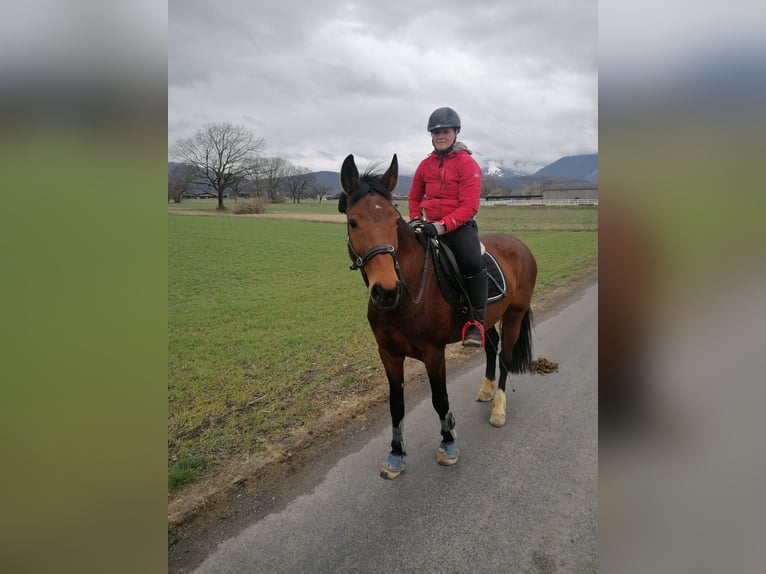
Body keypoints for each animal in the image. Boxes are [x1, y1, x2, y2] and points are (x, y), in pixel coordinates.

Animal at [340, 154, 536, 482]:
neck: (407, 294)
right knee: (489, 347)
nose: (386, 291)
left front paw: (448, 443)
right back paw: (485, 390)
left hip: (514, 316)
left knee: (506, 356)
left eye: (394, 221)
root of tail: (520, 244)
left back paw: (498, 407)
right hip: (487, 319)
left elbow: (440, 399)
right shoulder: (388, 354)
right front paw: (396, 454)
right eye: (353, 222)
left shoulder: (434, 353)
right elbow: (396, 405)